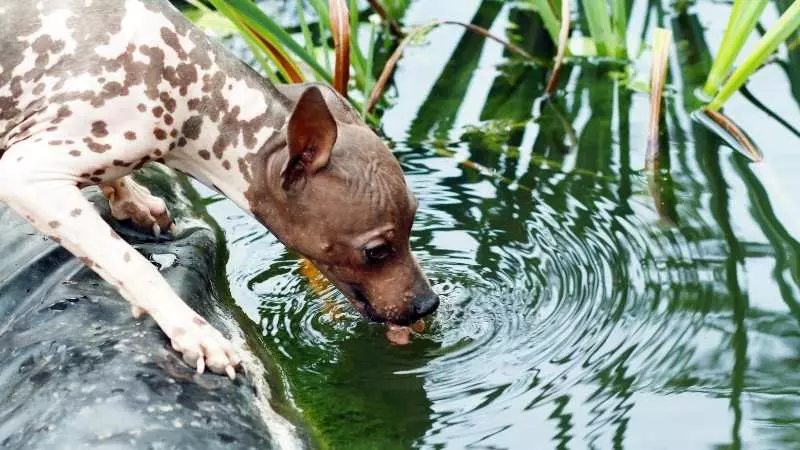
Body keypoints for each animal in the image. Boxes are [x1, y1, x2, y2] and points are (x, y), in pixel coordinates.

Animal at [0, 0, 438, 380]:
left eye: (413, 225)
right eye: (376, 251)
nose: (429, 303)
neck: (187, 86)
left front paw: (131, 199)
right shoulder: (24, 175)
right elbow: (132, 264)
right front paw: (192, 330)